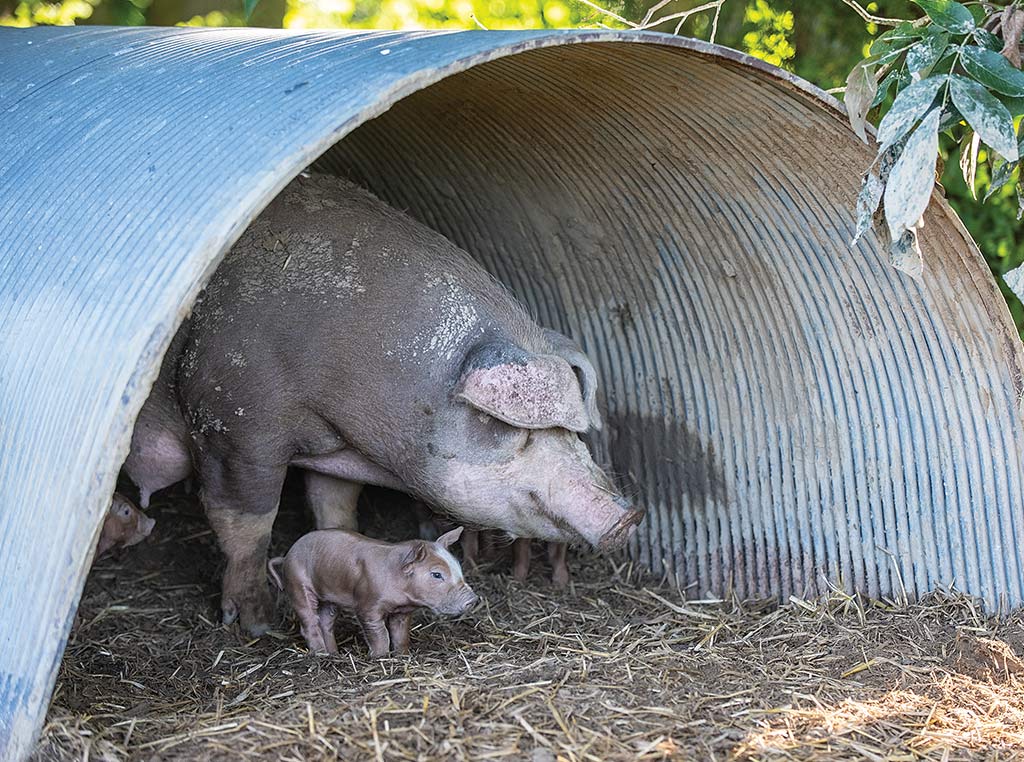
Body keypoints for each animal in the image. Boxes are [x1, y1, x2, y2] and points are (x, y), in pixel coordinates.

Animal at [123, 174, 643, 635]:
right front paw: (258, 626)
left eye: (574, 429)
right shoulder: (232, 425)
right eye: (506, 426)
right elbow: (247, 527)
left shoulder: (332, 450)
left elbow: (336, 510)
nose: (630, 516)